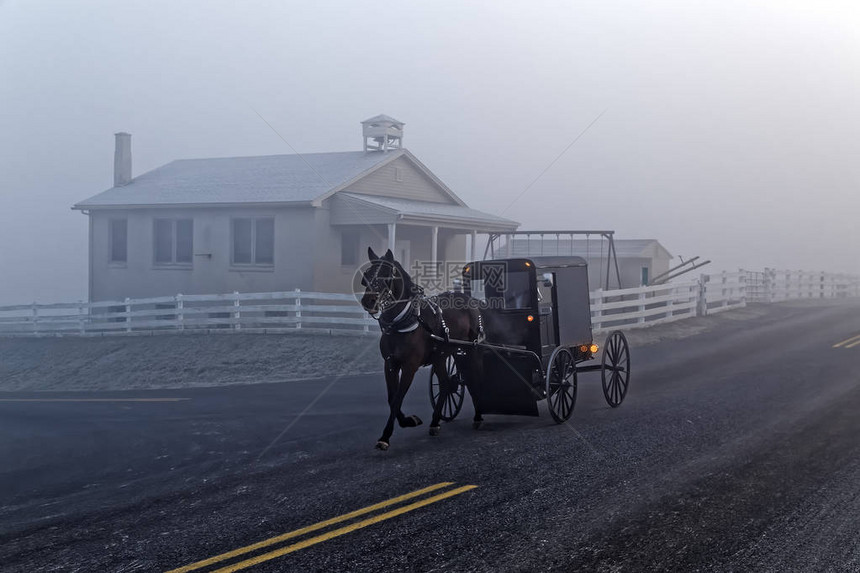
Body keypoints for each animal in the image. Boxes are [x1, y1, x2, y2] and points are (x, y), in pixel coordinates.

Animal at [358, 248, 484, 450]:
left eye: (386, 275)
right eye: (367, 276)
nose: (368, 301)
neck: (403, 322)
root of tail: (470, 300)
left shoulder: (410, 366)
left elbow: (397, 399)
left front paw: (386, 436)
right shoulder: (390, 364)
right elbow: (391, 398)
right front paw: (408, 420)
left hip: (472, 350)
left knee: (476, 379)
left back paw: (478, 415)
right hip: (445, 355)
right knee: (446, 383)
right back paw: (435, 422)